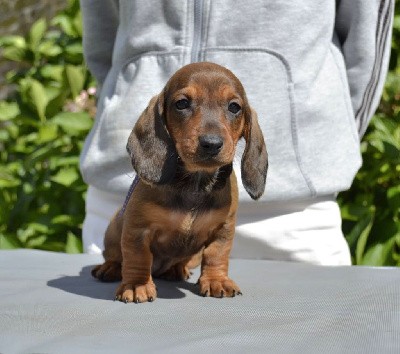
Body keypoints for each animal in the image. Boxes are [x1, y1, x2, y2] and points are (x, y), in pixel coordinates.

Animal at [92, 61, 268, 302]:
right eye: (182, 103)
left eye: (234, 107)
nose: (211, 143)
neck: (195, 181)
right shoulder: (137, 229)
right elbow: (137, 257)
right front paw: (137, 285)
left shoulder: (223, 230)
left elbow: (216, 255)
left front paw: (216, 280)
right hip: (113, 228)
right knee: (115, 256)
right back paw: (110, 267)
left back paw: (177, 269)